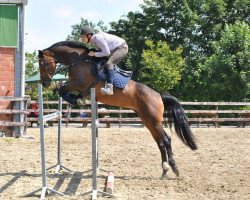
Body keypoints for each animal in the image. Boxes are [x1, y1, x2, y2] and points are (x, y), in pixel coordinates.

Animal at [38, 40, 197, 178]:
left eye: (42, 63)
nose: (44, 83)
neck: (78, 60)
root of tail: (158, 95)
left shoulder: (78, 83)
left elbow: (61, 90)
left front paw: (75, 100)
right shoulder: (80, 87)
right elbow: (65, 91)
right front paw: (78, 99)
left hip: (154, 121)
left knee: (166, 140)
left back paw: (174, 168)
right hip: (148, 121)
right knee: (160, 142)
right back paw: (164, 170)